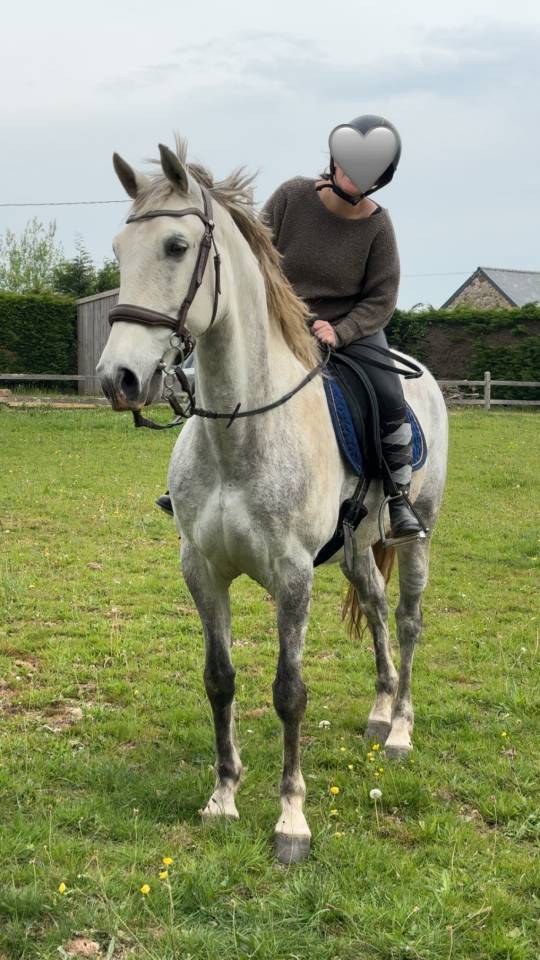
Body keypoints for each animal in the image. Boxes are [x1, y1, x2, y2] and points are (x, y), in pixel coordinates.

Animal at [96, 138, 449, 863]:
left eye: (176, 246)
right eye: (118, 248)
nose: (119, 378)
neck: (241, 430)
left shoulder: (291, 578)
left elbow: (289, 692)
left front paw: (291, 821)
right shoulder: (202, 570)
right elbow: (220, 679)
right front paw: (223, 797)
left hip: (416, 535)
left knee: (407, 620)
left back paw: (400, 729)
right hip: (356, 550)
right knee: (376, 607)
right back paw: (379, 711)